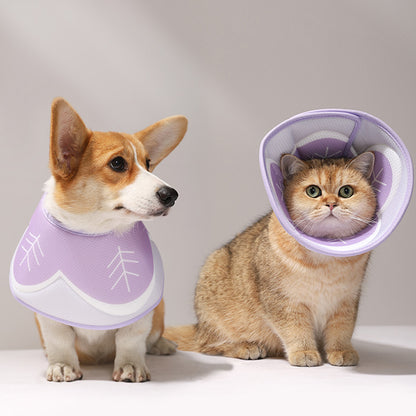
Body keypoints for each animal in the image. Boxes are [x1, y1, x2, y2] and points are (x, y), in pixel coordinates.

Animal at [23, 98, 187, 382]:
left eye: (148, 163)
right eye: (118, 163)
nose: (172, 194)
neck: (94, 233)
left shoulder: (142, 314)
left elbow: (131, 338)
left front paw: (131, 365)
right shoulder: (49, 314)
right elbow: (59, 339)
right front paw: (62, 365)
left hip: (160, 309)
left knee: (153, 336)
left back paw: (162, 345)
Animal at [164, 152, 377, 366]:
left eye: (346, 191)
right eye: (313, 191)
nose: (332, 203)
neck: (326, 260)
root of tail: (199, 327)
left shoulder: (346, 301)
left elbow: (341, 329)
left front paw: (341, 351)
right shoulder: (283, 301)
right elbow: (295, 329)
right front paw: (304, 352)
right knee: (210, 346)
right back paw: (246, 347)